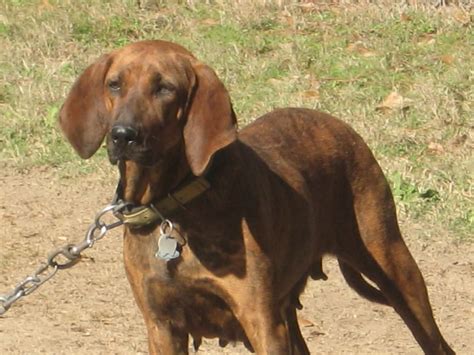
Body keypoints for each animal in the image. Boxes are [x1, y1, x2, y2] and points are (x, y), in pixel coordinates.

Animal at [57, 40, 454, 354]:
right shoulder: (162, 326)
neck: (176, 204)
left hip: (394, 265)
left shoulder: (260, 321)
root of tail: (342, 127)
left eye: (165, 88)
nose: (123, 135)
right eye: (114, 84)